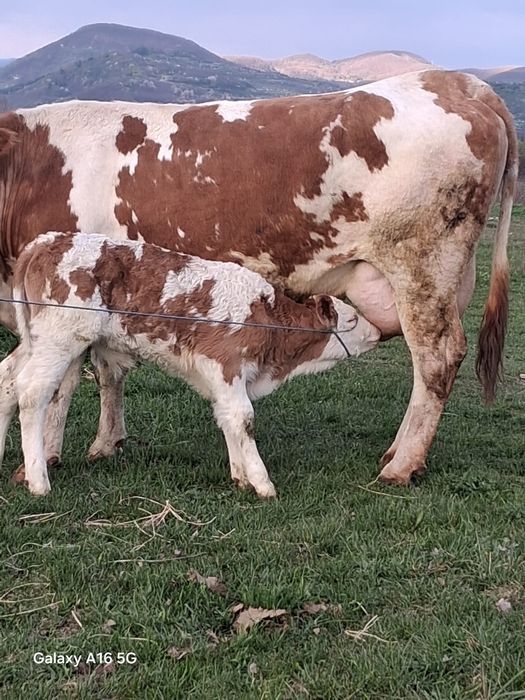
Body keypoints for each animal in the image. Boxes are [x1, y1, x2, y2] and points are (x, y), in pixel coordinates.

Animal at [0, 232, 379, 496]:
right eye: (352, 319)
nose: (378, 332)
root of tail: (44, 241)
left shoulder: (220, 378)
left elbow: (227, 418)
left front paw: (241, 476)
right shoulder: (227, 364)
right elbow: (243, 418)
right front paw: (263, 483)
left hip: (37, 340)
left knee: (7, 380)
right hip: (59, 340)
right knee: (32, 392)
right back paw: (38, 481)